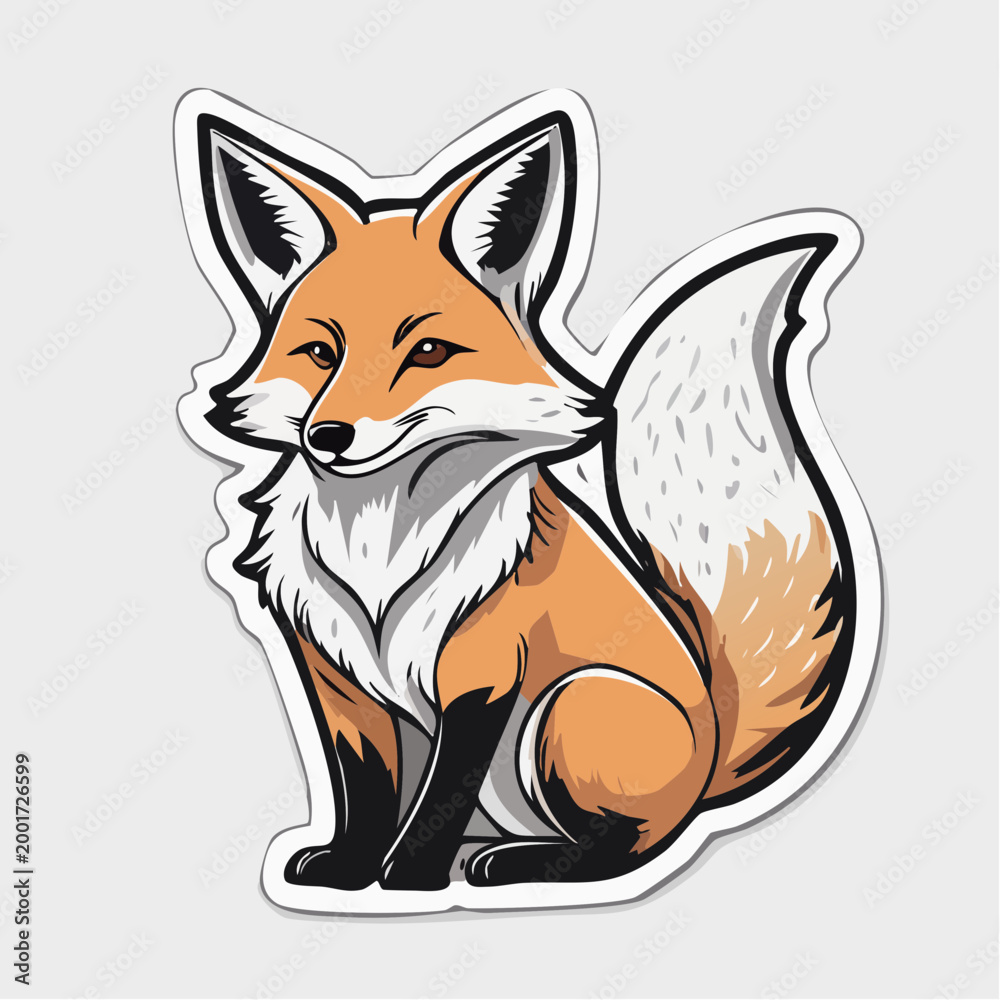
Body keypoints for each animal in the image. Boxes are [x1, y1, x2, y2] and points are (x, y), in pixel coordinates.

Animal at [174, 89, 880, 910]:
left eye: (427, 352)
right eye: (321, 352)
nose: (329, 436)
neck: (378, 545)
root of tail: (706, 771)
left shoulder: (481, 674)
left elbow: (438, 798)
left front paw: (409, 877)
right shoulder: (335, 678)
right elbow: (367, 790)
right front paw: (352, 870)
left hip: (569, 706)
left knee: (624, 848)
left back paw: (518, 865)